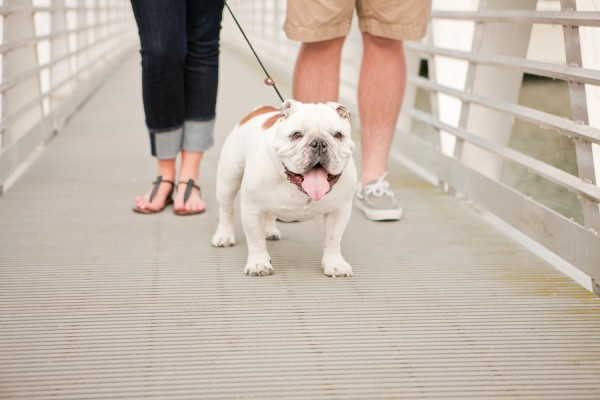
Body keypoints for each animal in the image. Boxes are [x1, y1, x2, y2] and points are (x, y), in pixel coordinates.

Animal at [211, 99, 357, 277]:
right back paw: (224, 235)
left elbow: (333, 239)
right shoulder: (252, 209)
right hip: (229, 178)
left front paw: (335, 264)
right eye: (296, 135)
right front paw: (259, 263)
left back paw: (269, 231)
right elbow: (255, 239)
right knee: (226, 209)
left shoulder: (339, 210)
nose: (319, 143)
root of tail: (259, 110)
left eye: (338, 135)